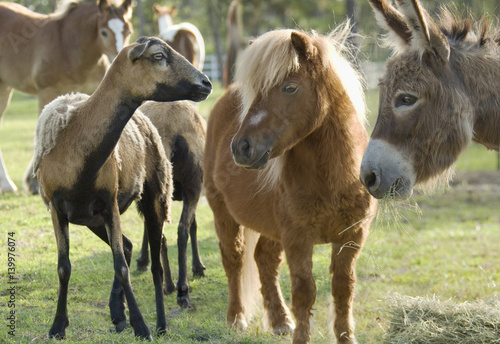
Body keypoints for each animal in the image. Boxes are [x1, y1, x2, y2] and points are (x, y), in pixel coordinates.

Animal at [0, 0, 134, 194]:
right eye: (103, 32)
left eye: (128, 31)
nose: (120, 59)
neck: (70, 48)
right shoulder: (48, 92)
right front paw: (34, 184)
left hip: (5, 86)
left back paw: (6, 184)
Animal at [204, 26, 376, 344]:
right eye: (256, 91)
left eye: (290, 88)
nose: (241, 148)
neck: (332, 179)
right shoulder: (298, 238)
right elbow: (305, 292)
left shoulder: (351, 237)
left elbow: (343, 289)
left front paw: (344, 337)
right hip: (223, 213)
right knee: (234, 260)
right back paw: (236, 318)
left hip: (270, 227)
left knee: (264, 260)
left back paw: (280, 321)